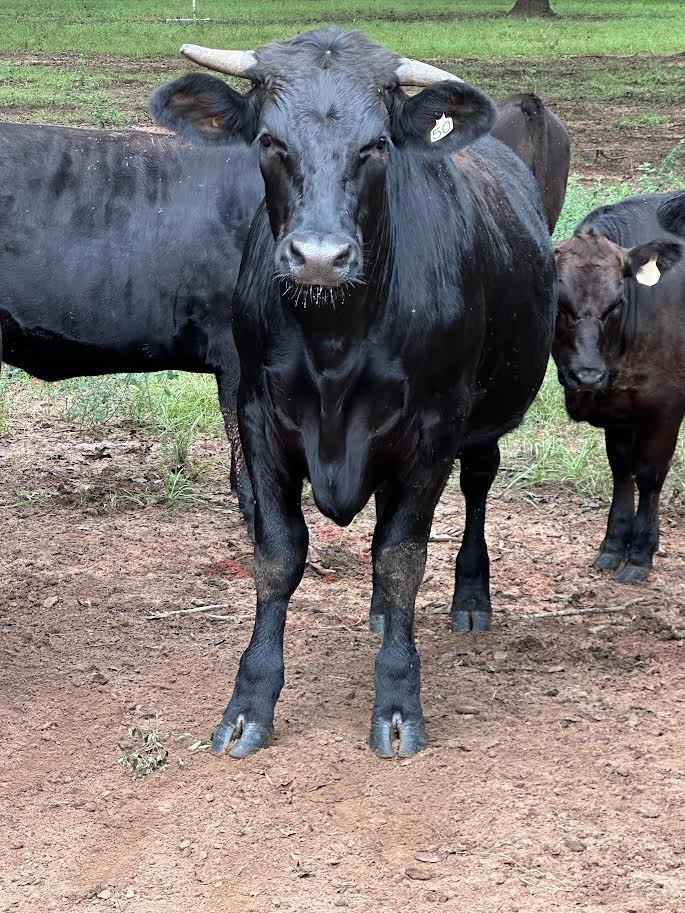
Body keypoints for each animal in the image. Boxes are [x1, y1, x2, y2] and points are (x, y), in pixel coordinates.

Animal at [151, 28, 557, 759]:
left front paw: (397, 701)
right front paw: (248, 702)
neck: (334, 340)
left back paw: (470, 596)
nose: (319, 257)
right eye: (270, 141)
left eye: (376, 145)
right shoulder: (256, 417)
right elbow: (278, 554)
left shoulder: (434, 427)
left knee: (476, 484)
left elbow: (401, 557)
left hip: (482, 420)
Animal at [553, 191, 684, 584]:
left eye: (617, 303)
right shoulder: (617, 409)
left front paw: (641, 553)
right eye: (560, 304)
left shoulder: (666, 408)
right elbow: (622, 467)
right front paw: (613, 546)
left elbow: (650, 474)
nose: (587, 375)